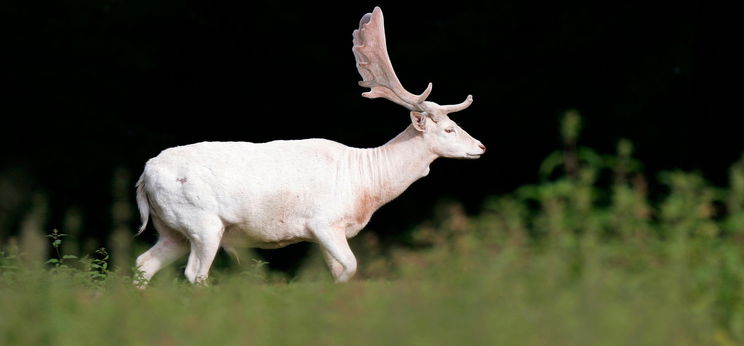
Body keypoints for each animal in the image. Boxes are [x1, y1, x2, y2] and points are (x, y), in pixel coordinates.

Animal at [134, 6, 486, 286]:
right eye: (449, 128)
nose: (481, 147)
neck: (366, 186)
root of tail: (144, 176)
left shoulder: (329, 231)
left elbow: (341, 271)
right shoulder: (324, 221)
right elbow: (351, 267)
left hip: (173, 230)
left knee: (143, 263)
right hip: (202, 222)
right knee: (195, 273)